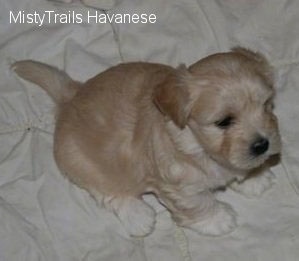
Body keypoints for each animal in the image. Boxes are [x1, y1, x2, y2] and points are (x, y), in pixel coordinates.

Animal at [12, 47, 282, 237]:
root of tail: (70, 96)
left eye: (266, 105)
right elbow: (199, 204)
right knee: (107, 192)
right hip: (83, 164)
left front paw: (254, 179)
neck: (196, 144)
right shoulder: (179, 187)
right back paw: (138, 216)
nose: (263, 145)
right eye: (224, 121)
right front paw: (218, 220)